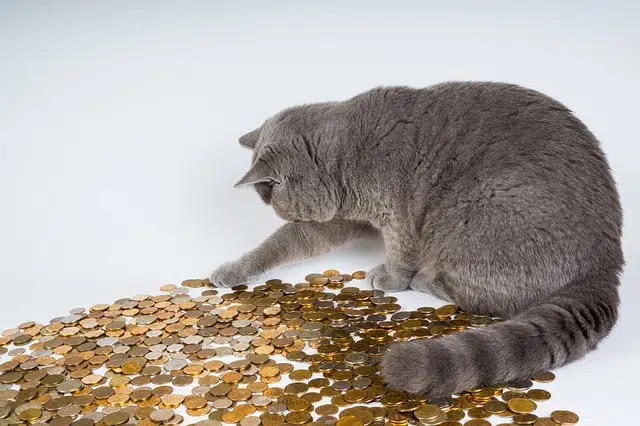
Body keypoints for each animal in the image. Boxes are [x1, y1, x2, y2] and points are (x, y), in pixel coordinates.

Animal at [212, 82, 624, 400]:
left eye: (273, 197)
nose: (285, 214)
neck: (344, 156)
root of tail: (607, 262)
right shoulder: (340, 218)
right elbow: (283, 244)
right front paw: (232, 270)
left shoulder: (400, 214)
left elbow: (401, 251)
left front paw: (389, 278)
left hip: (475, 215)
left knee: (489, 298)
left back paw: (425, 279)